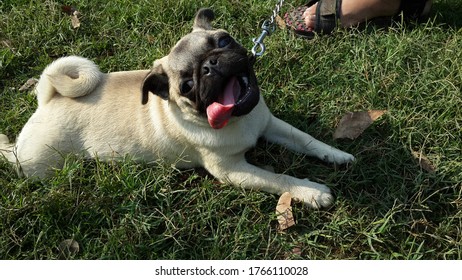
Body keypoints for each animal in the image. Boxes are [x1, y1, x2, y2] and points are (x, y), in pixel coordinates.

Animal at [0, 8, 354, 208]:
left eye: (222, 41)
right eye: (186, 86)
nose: (210, 66)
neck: (239, 121)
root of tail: (50, 98)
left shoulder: (268, 123)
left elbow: (307, 139)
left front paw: (337, 155)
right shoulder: (233, 171)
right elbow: (278, 178)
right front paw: (312, 191)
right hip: (42, 165)